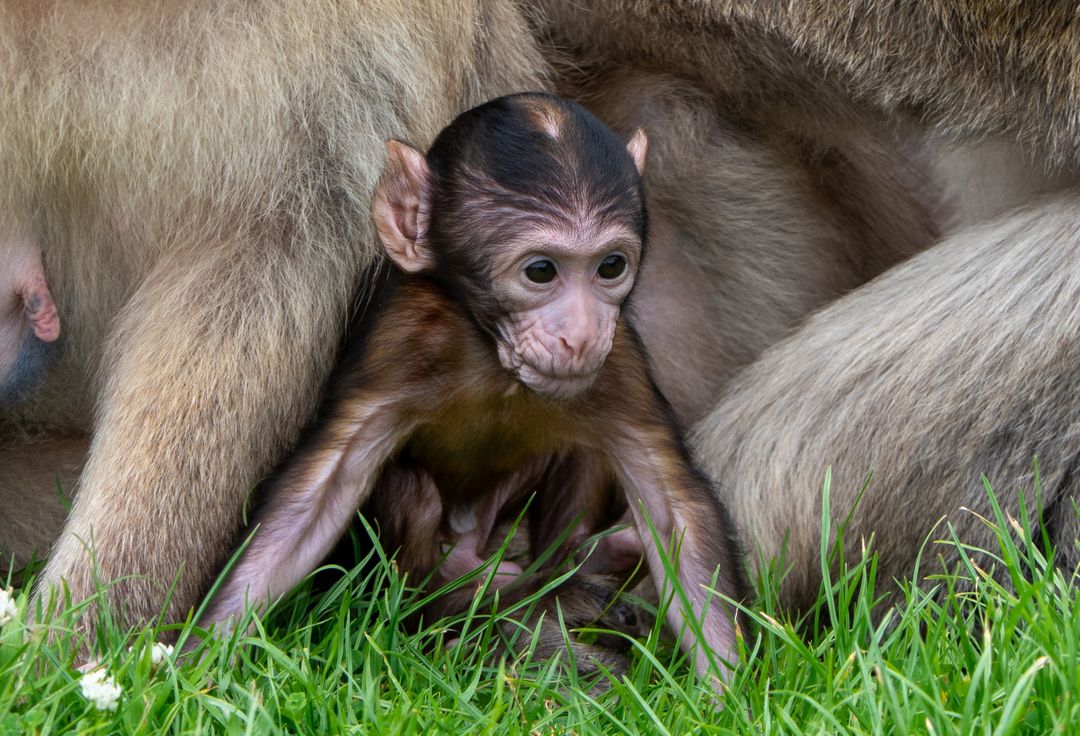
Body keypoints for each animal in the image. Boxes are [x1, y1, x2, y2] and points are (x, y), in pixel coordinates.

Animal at [200, 93, 747, 681]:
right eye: (540, 271)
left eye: (611, 266)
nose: (580, 336)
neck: (493, 355)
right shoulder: (401, 339)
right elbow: (317, 496)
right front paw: (195, 657)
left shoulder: (618, 357)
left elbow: (673, 505)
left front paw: (727, 686)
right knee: (413, 494)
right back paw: (462, 599)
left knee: (582, 453)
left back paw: (579, 568)